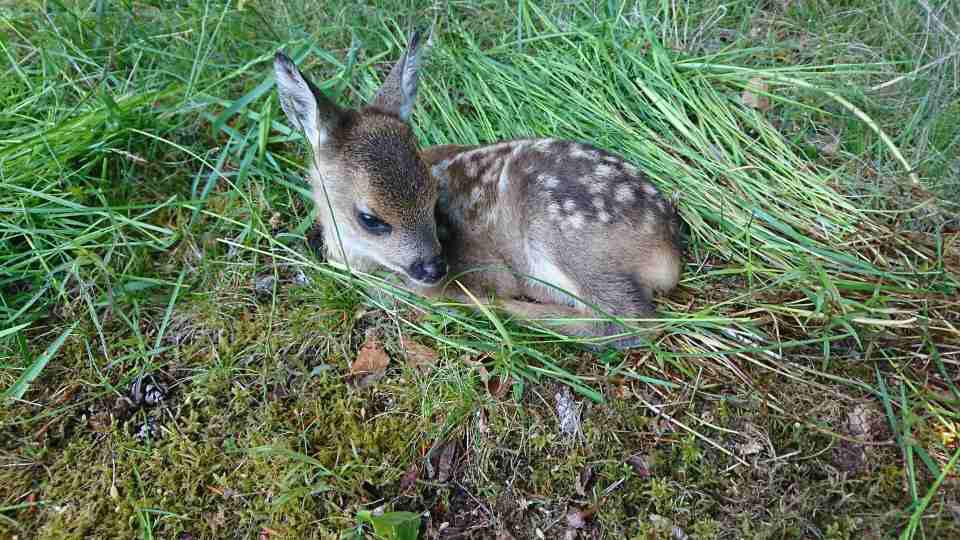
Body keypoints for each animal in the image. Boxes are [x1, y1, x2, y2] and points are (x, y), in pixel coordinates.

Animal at [273, 31, 683, 349]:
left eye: (431, 199)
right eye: (370, 218)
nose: (435, 267)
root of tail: (669, 245)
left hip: (564, 235)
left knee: (628, 321)